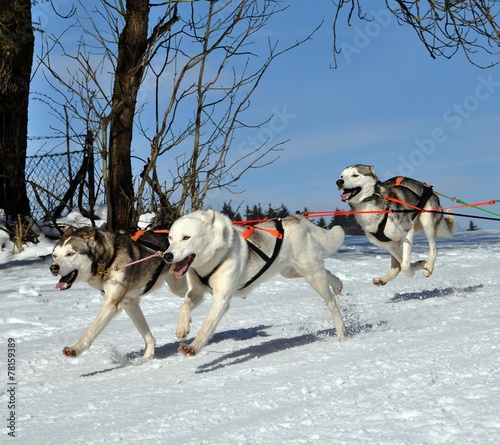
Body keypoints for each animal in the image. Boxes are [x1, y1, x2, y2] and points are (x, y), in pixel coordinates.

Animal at [49, 227, 187, 360]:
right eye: (54, 256)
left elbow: (90, 331)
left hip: (179, 287)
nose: (53, 267)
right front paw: (147, 356)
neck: (108, 260)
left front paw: (75, 349)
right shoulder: (129, 303)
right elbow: (147, 335)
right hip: (177, 285)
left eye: (70, 254)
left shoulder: (111, 304)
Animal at [164, 210, 348, 356]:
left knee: (331, 302)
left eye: (186, 238)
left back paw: (341, 330)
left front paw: (193, 347)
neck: (213, 257)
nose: (167, 255)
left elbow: (206, 326)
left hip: (312, 275)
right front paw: (182, 327)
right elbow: (185, 304)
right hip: (291, 272)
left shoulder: (221, 300)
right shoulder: (197, 292)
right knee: (326, 272)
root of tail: (296, 218)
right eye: (170, 238)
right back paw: (337, 283)